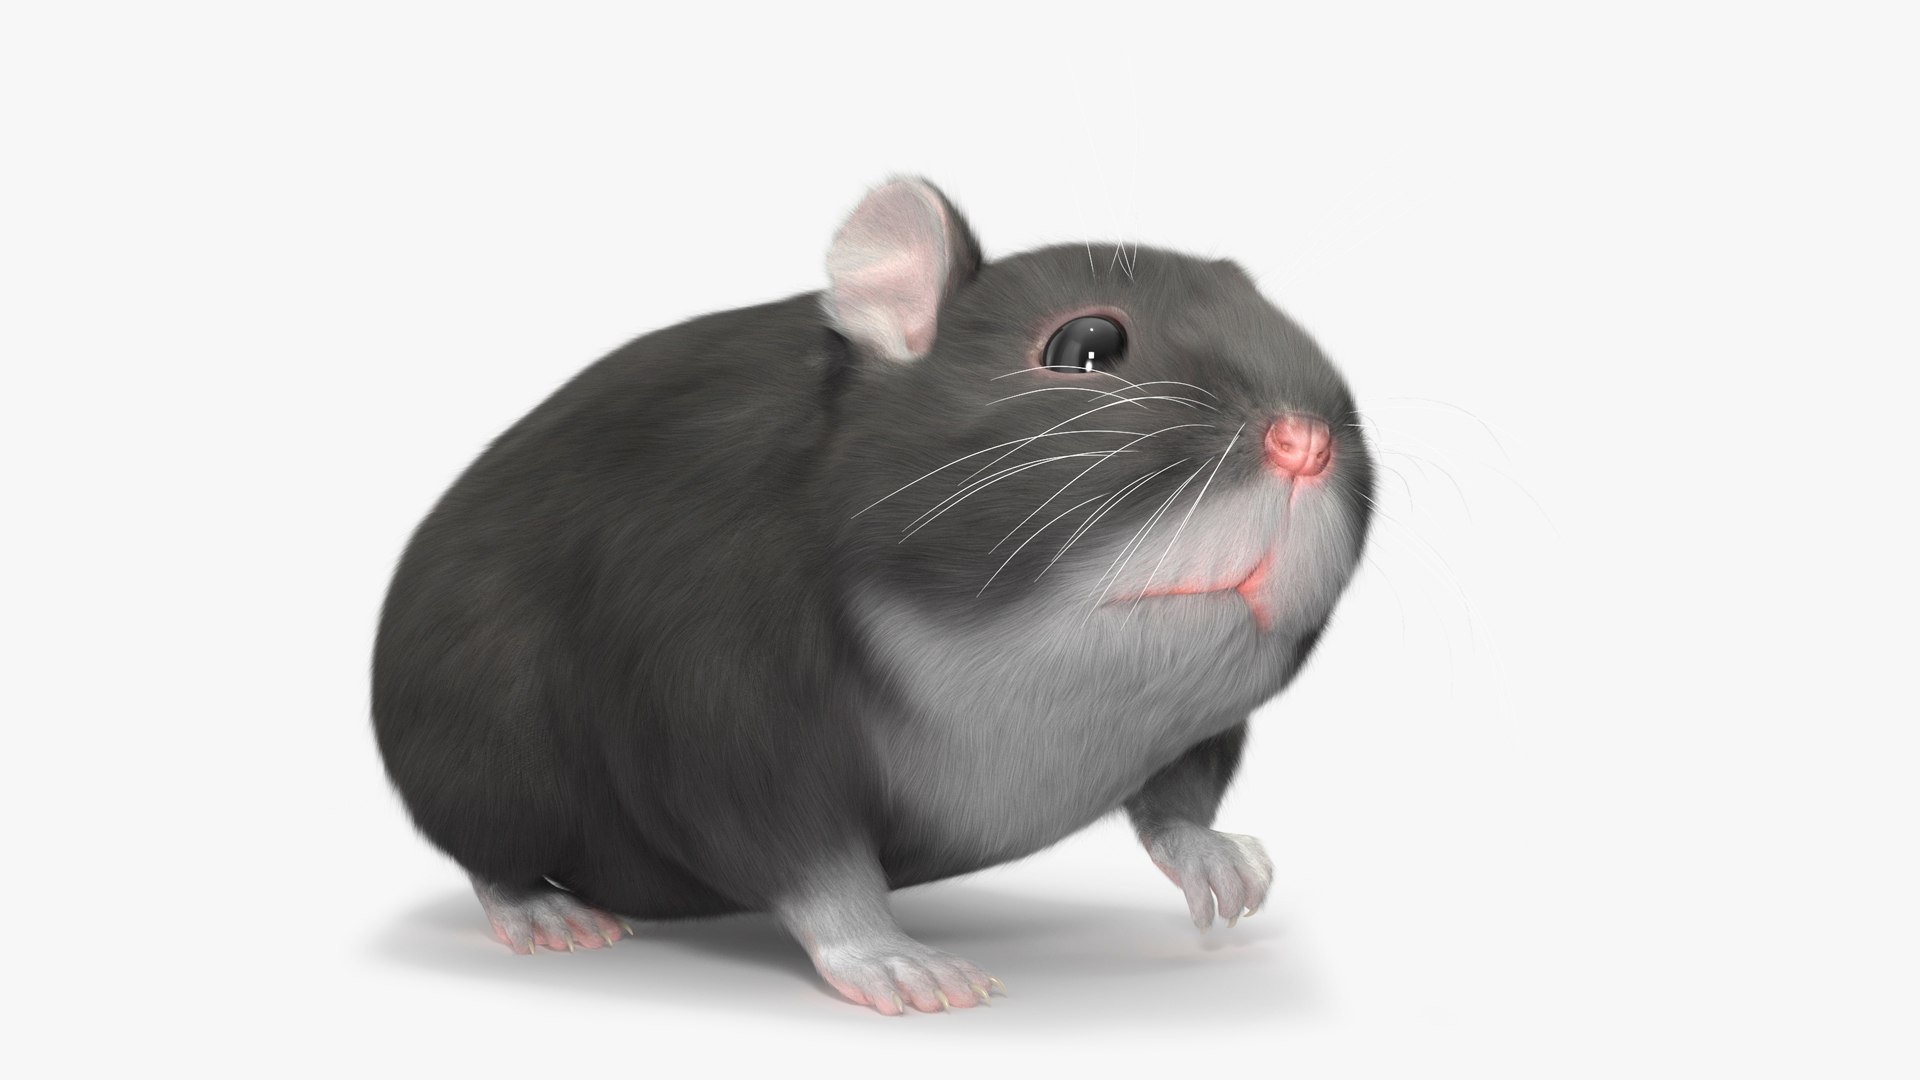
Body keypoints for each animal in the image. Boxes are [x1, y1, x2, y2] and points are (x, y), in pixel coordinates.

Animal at [371, 178, 1373, 1014]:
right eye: (1087, 346)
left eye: (1291, 336)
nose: (1304, 443)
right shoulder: (716, 692)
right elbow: (796, 850)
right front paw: (887, 955)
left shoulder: (1198, 728)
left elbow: (1181, 788)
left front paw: (1212, 855)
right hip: (480, 752)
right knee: (489, 846)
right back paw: (538, 907)